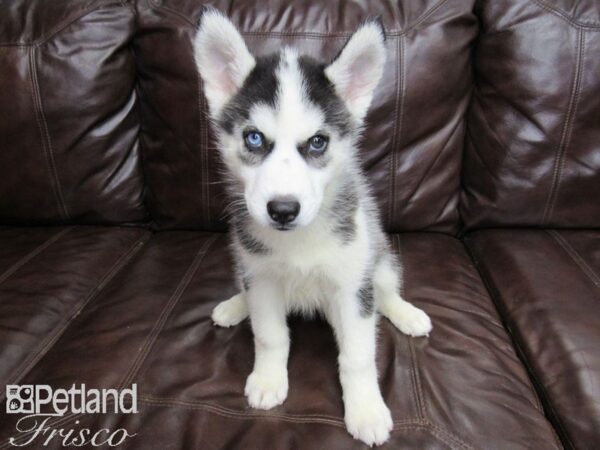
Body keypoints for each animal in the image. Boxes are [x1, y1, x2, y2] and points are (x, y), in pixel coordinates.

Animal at [195, 8, 434, 444]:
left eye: (318, 142)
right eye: (254, 139)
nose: (283, 210)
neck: (299, 242)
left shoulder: (353, 286)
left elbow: (358, 355)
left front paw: (366, 409)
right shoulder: (263, 278)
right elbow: (270, 334)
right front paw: (268, 379)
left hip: (377, 256)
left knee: (385, 290)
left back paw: (406, 313)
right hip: (244, 264)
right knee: (245, 289)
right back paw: (234, 305)